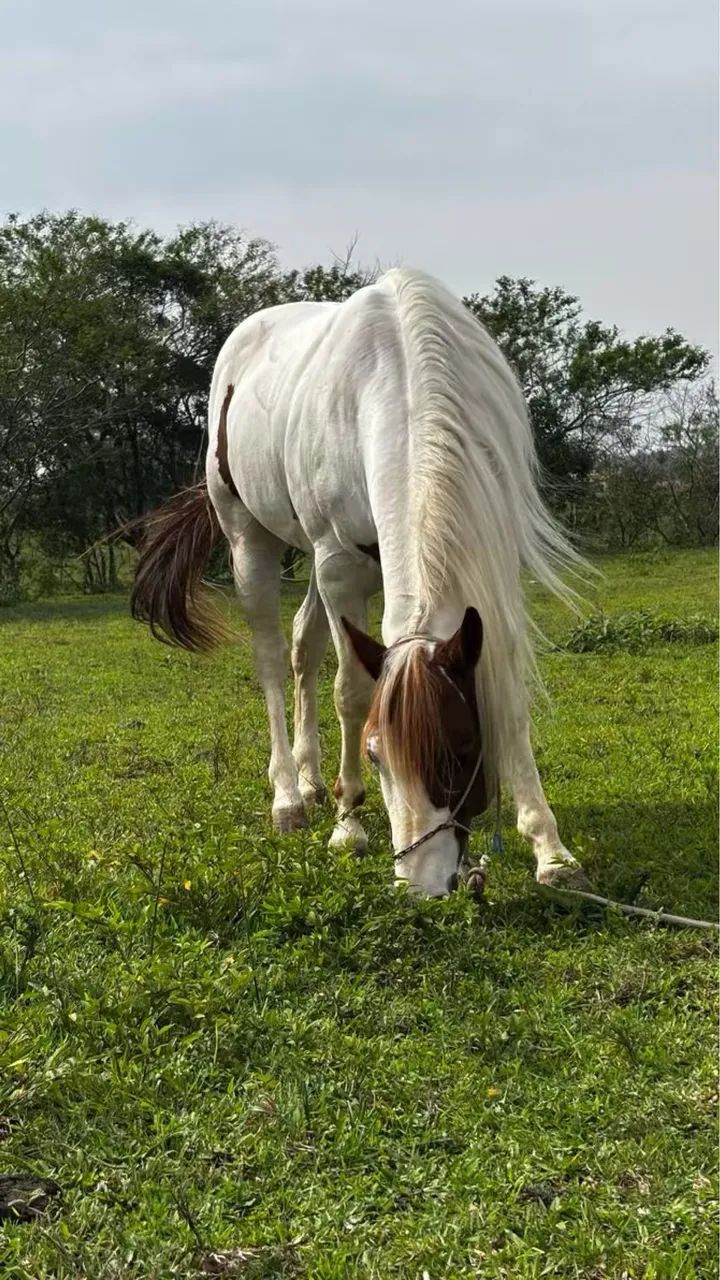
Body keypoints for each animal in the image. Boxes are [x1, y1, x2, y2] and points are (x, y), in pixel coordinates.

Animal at [131, 268, 590, 897]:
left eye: (462, 751)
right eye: (376, 757)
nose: (423, 884)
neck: (407, 384)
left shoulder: (493, 565)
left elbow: (510, 693)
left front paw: (550, 848)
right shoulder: (338, 569)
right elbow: (351, 691)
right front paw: (348, 824)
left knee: (303, 642)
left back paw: (309, 779)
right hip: (252, 542)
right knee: (272, 658)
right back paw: (288, 797)